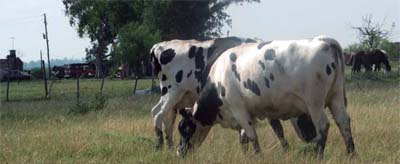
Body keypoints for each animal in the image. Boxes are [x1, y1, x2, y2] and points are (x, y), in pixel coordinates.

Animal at [178, 35, 356, 158]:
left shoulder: (239, 110)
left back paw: (319, 155)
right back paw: (351, 154)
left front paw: (258, 156)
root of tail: (324, 40)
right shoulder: (249, 113)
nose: (179, 152)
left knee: (323, 126)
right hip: (336, 97)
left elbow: (252, 136)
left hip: (314, 102)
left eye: (184, 128)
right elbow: (245, 138)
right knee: (343, 122)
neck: (219, 80)